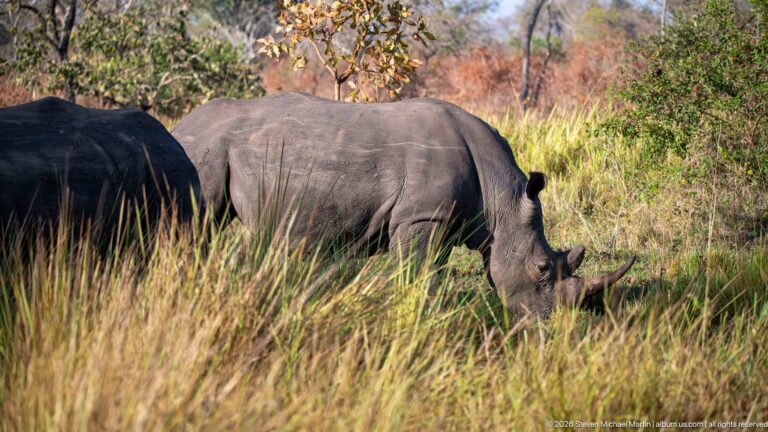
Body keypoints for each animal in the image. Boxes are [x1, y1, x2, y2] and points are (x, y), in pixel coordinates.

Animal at [172, 92, 635, 316]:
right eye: (541, 269)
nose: (550, 322)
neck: (502, 198)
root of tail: (181, 123)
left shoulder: (445, 220)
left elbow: (431, 272)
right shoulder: (420, 216)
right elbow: (416, 275)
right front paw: (412, 314)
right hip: (205, 147)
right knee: (200, 220)